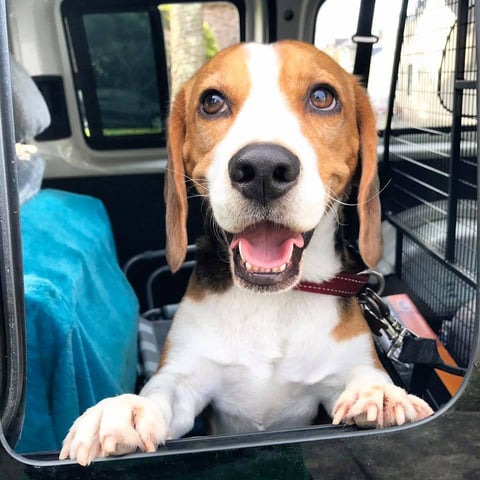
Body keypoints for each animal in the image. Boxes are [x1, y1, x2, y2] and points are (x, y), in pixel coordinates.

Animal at [61, 40, 436, 464]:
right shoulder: (186, 379)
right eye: (211, 102)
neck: (271, 302)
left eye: (323, 97)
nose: (262, 168)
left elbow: (366, 377)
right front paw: (123, 409)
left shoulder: (346, 365)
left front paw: (381, 395)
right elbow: (161, 394)